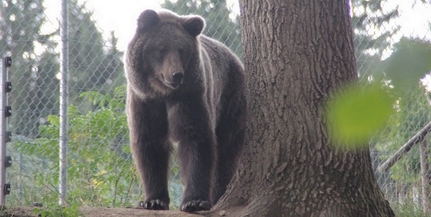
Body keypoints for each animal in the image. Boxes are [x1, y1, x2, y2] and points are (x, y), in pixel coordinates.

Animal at [125, 9, 246, 213]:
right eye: (161, 48)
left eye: (181, 49)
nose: (177, 74)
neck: (164, 93)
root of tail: (235, 57)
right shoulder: (145, 101)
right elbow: (150, 143)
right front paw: (153, 200)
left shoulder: (190, 97)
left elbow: (195, 138)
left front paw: (194, 201)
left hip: (230, 100)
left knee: (226, 153)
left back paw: (218, 195)